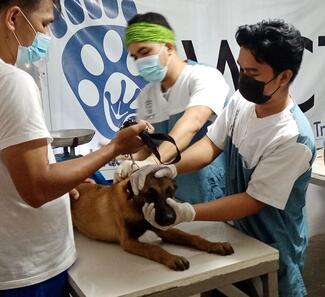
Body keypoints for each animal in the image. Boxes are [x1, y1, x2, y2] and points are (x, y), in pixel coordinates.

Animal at [71, 172, 233, 270]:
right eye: (150, 193)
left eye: (170, 191)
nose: (169, 218)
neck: (136, 206)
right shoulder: (128, 241)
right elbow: (154, 248)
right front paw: (172, 258)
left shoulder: (161, 227)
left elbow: (191, 237)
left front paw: (215, 245)